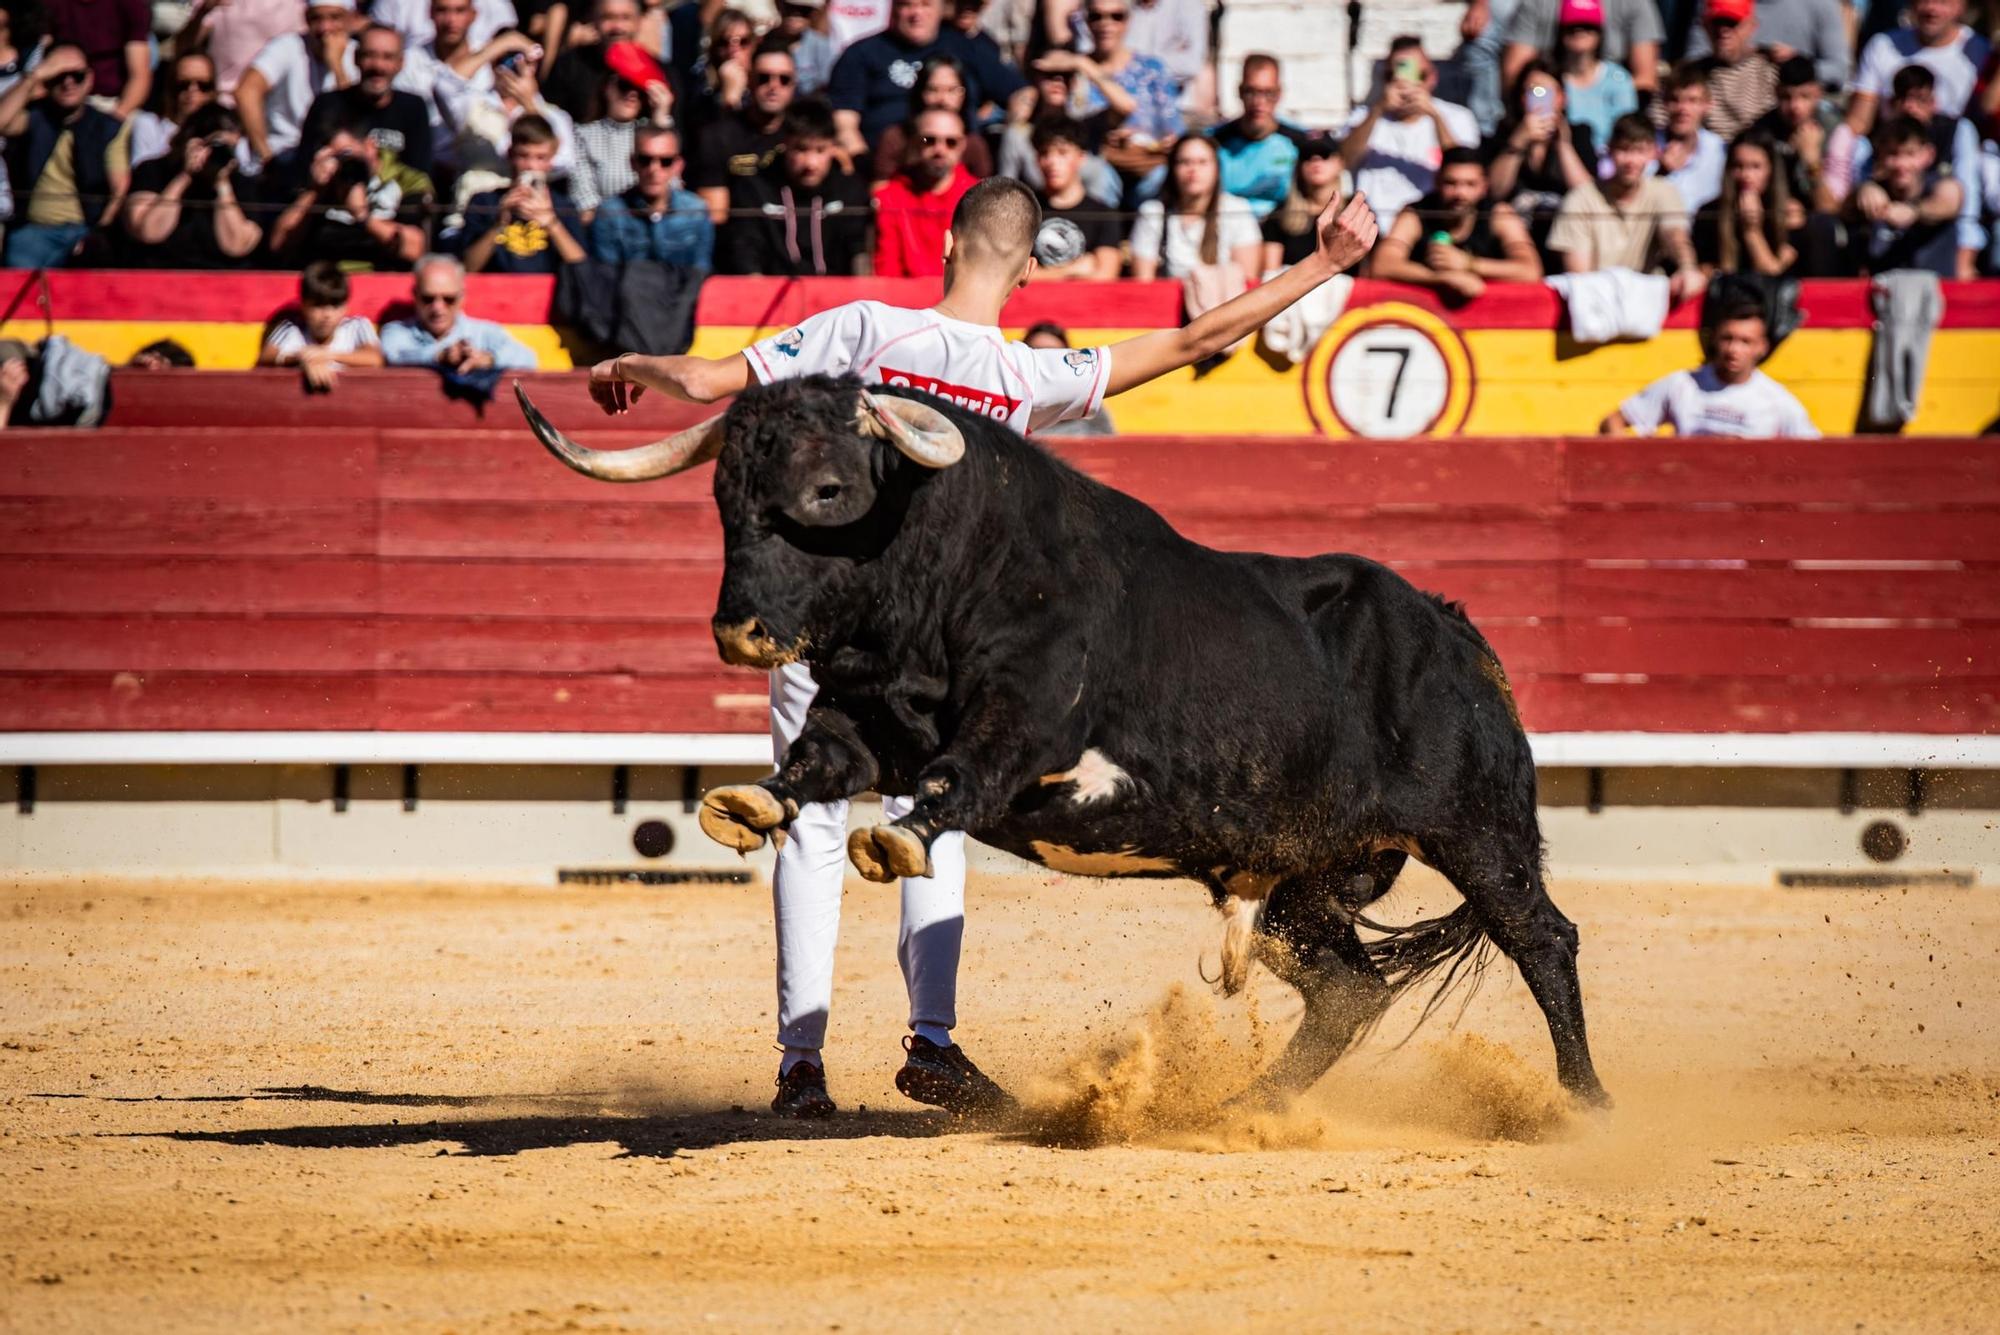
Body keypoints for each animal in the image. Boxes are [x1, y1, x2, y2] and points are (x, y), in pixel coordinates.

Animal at [516, 373, 1608, 1103]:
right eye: (722, 498)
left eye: (826, 492)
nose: (740, 631)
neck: (946, 573)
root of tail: (1453, 627)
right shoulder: (866, 716)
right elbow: (816, 761)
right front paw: (747, 802)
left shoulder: (1025, 719)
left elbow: (963, 772)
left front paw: (896, 837)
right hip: (1311, 878)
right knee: (1346, 987)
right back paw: (1246, 1109)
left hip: (1479, 826)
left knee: (1539, 936)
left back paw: (1581, 1104)